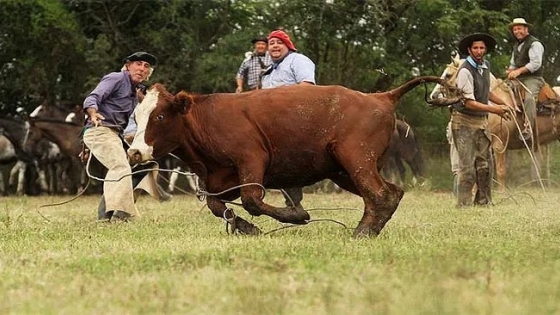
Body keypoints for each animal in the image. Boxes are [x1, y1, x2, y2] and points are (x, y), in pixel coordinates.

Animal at [128, 78, 456, 238]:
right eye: (136, 115)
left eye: (159, 116)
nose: (134, 151)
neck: (205, 121)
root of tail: (380, 97)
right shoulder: (217, 179)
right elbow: (218, 206)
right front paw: (247, 227)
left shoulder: (252, 158)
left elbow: (252, 200)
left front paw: (297, 216)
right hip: (343, 170)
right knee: (390, 192)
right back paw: (370, 228)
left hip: (356, 158)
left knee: (378, 193)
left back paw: (363, 232)